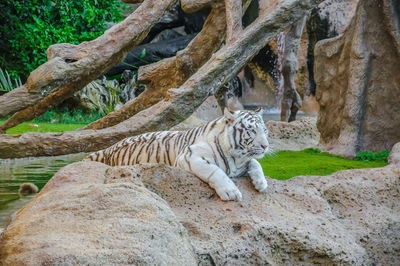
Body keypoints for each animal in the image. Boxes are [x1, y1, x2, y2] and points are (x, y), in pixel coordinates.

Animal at [86, 109, 270, 201]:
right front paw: (231, 192)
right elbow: (215, 171)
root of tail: (108, 148)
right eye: (252, 130)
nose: (265, 145)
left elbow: (255, 162)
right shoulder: (189, 156)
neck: (237, 157)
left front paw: (261, 183)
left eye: (265, 130)